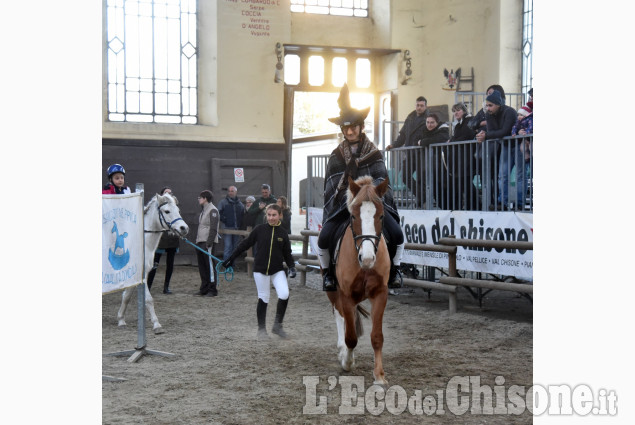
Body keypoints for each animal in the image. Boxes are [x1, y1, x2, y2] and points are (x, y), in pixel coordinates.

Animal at [116, 192, 188, 334]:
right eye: (167, 211)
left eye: (178, 210)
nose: (184, 228)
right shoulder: (141, 276)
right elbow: (148, 299)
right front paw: (157, 325)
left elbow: (126, 296)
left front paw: (121, 320)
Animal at [328, 175, 392, 384]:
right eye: (354, 216)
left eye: (381, 216)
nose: (368, 258)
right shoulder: (346, 294)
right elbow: (351, 337)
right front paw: (347, 362)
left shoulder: (380, 293)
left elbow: (377, 336)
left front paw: (379, 376)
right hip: (333, 291)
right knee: (339, 315)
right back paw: (342, 351)